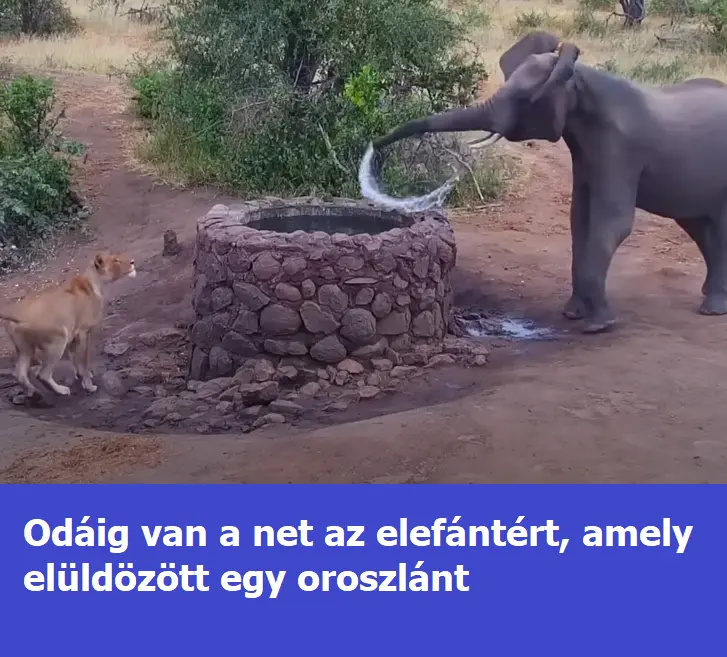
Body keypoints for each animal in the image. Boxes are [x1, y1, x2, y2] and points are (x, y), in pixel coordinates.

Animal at [370, 30, 727, 333]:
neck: (578, 77)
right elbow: (578, 219)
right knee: (697, 225)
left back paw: (713, 309)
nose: (374, 144)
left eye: (525, 99)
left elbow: (611, 223)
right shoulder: (585, 152)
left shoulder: (620, 149)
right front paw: (573, 314)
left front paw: (598, 326)